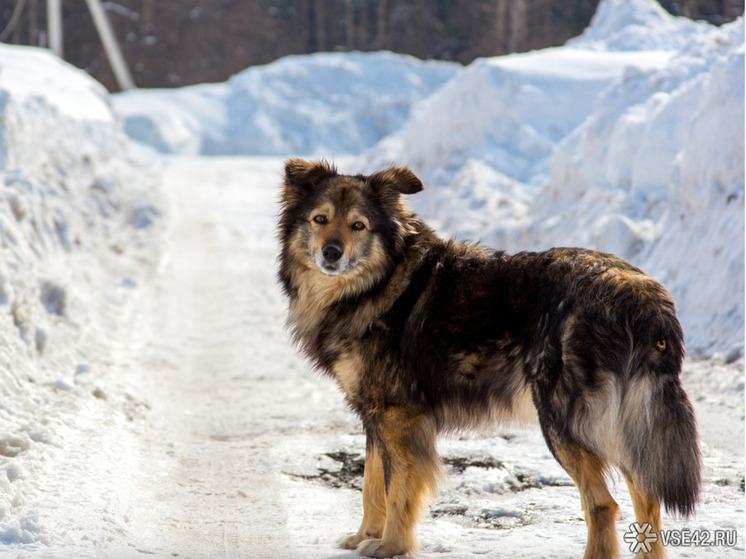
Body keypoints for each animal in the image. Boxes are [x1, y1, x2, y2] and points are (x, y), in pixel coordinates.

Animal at [276, 159, 700, 559]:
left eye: (359, 226)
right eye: (320, 219)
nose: (331, 253)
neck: (376, 284)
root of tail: (641, 295)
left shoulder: (398, 416)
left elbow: (396, 487)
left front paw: (391, 546)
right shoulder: (375, 416)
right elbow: (371, 483)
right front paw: (365, 536)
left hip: (564, 421)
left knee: (603, 504)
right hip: (622, 422)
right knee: (647, 497)